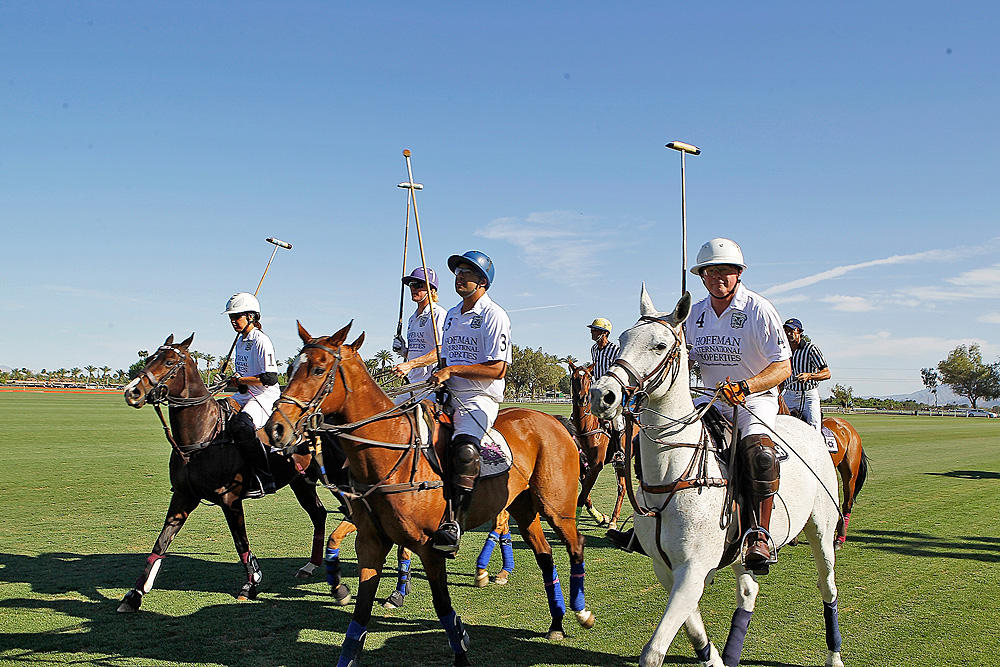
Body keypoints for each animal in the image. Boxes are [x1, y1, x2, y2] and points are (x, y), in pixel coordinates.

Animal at [117, 332, 328, 612]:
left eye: (169, 361)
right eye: (150, 356)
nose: (132, 391)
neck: (202, 436)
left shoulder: (230, 499)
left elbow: (241, 542)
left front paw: (250, 584)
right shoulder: (184, 495)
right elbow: (161, 542)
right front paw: (135, 594)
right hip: (301, 480)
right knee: (319, 513)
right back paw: (310, 566)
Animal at [266, 324, 592, 667]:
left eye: (318, 369)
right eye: (291, 368)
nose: (276, 429)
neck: (388, 448)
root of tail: (553, 419)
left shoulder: (429, 547)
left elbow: (444, 608)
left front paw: (460, 652)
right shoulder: (371, 543)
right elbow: (360, 615)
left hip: (555, 506)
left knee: (575, 544)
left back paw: (581, 612)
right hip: (522, 506)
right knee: (545, 554)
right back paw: (556, 623)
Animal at [572, 362, 624, 528]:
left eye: (589, 377)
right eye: (574, 377)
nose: (582, 398)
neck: (586, 427)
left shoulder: (596, 465)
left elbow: (582, 496)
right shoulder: (582, 465)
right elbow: (585, 495)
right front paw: (601, 517)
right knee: (622, 487)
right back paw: (613, 519)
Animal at [592, 286, 844, 667]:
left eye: (660, 346)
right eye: (621, 339)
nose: (602, 395)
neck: (673, 471)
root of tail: (809, 427)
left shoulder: (693, 568)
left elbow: (653, 652)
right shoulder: (668, 570)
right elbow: (695, 629)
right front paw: (714, 658)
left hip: (821, 528)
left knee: (827, 585)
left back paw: (834, 656)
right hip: (742, 550)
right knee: (749, 589)